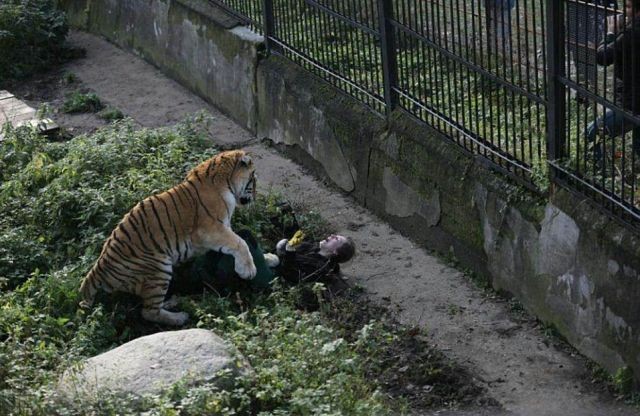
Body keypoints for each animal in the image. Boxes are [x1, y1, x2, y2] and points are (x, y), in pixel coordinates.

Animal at [79, 149, 258, 324]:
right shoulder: (209, 229)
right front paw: (248, 270)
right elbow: (240, 242)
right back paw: (180, 317)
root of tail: (98, 268)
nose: (256, 196)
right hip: (159, 268)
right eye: (254, 178)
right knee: (149, 312)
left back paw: (172, 302)